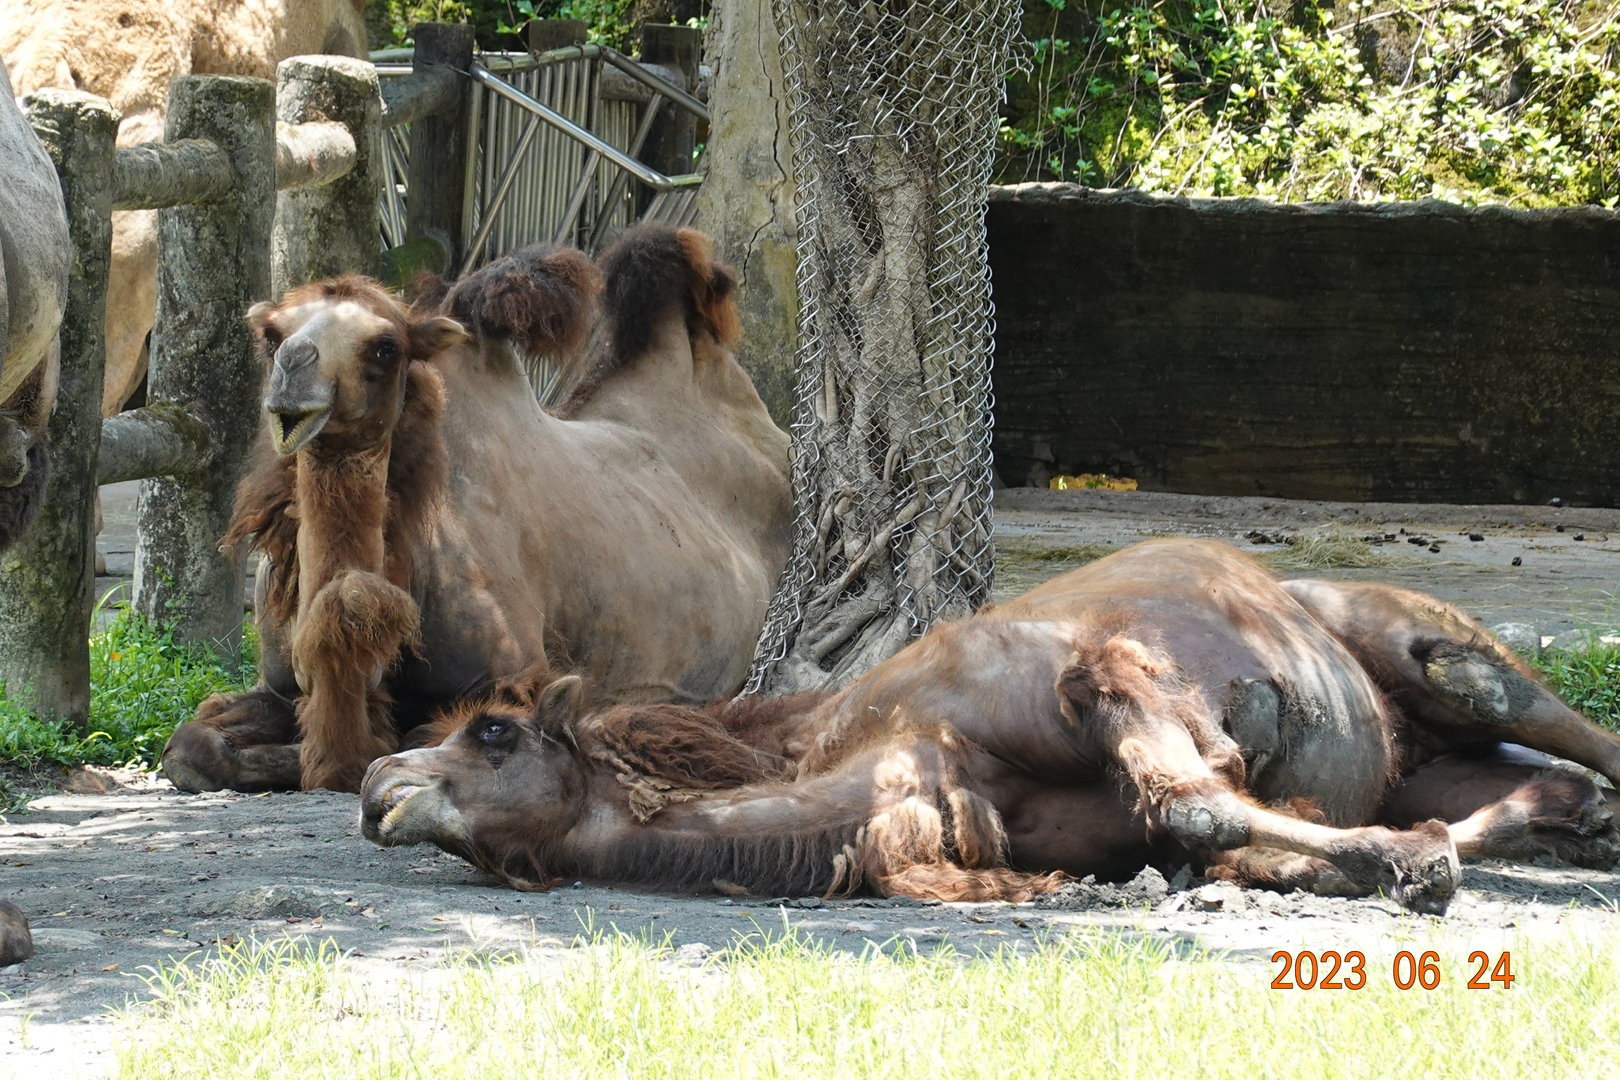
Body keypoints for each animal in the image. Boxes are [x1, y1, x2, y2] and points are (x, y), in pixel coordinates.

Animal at [162, 225, 792, 795]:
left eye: (385, 347)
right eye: (272, 335)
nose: (293, 365)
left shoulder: (515, 679)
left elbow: (414, 739)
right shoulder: (277, 686)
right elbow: (189, 745)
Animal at [361, 539, 1620, 914]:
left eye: (491, 736)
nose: (377, 784)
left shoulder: (1098, 674)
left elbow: (1195, 798)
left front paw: (1408, 868)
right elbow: (1200, 828)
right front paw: (1388, 858)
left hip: (1416, 641)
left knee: (1534, 707)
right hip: (1421, 756)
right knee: (1538, 785)